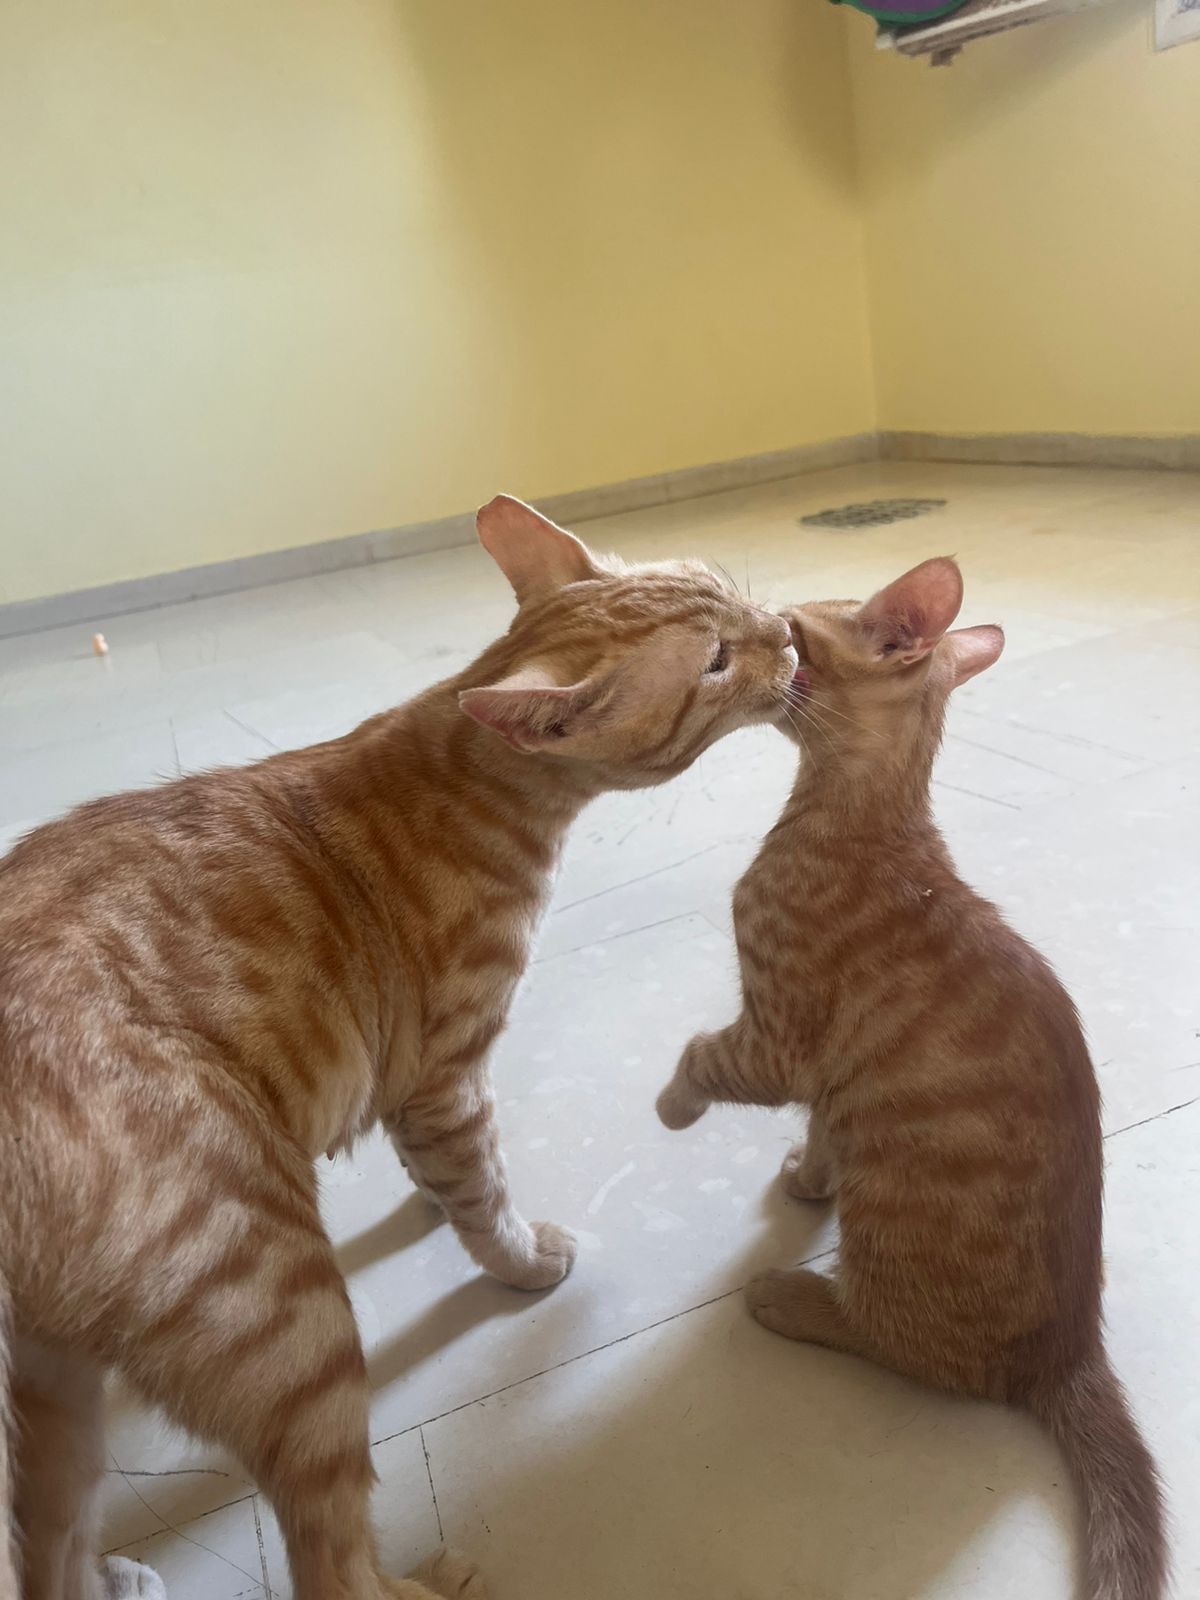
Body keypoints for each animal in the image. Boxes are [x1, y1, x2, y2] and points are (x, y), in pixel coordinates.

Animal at [0, 493, 797, 1600]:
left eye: (730, 593)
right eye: (718, 658)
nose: (793, 632)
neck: (465, 770)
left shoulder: (413, 1090)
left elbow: (445, 1174)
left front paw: (428, 1201)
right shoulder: (447, 1074)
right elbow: (484, 1189)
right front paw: (516, 1256)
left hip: (55, 1398)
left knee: (52, 1549)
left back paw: (116, 1578)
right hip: (282, 1309)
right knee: (331, 1562)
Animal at [656, 557, 1166, 1600]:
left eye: (793, 634)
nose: (755, 638)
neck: (857, 818)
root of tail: (1072, 1350)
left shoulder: (775, 1040)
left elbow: (701, 1055)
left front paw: (675, 1106)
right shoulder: (823, 1071)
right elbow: (822, 1123)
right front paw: (809, 1174)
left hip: (888, 1230)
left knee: (892, 1343)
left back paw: (792, 1299)